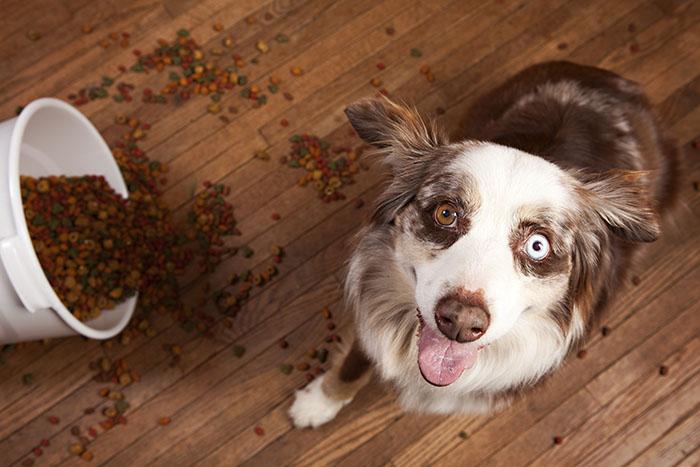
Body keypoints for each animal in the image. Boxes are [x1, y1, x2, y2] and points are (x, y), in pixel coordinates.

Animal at [288, 61, 680, 428]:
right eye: (446, 213)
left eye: (538, 246)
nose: (460, 322)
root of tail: (610, 79)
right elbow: (355, 361)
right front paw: (320, 402)